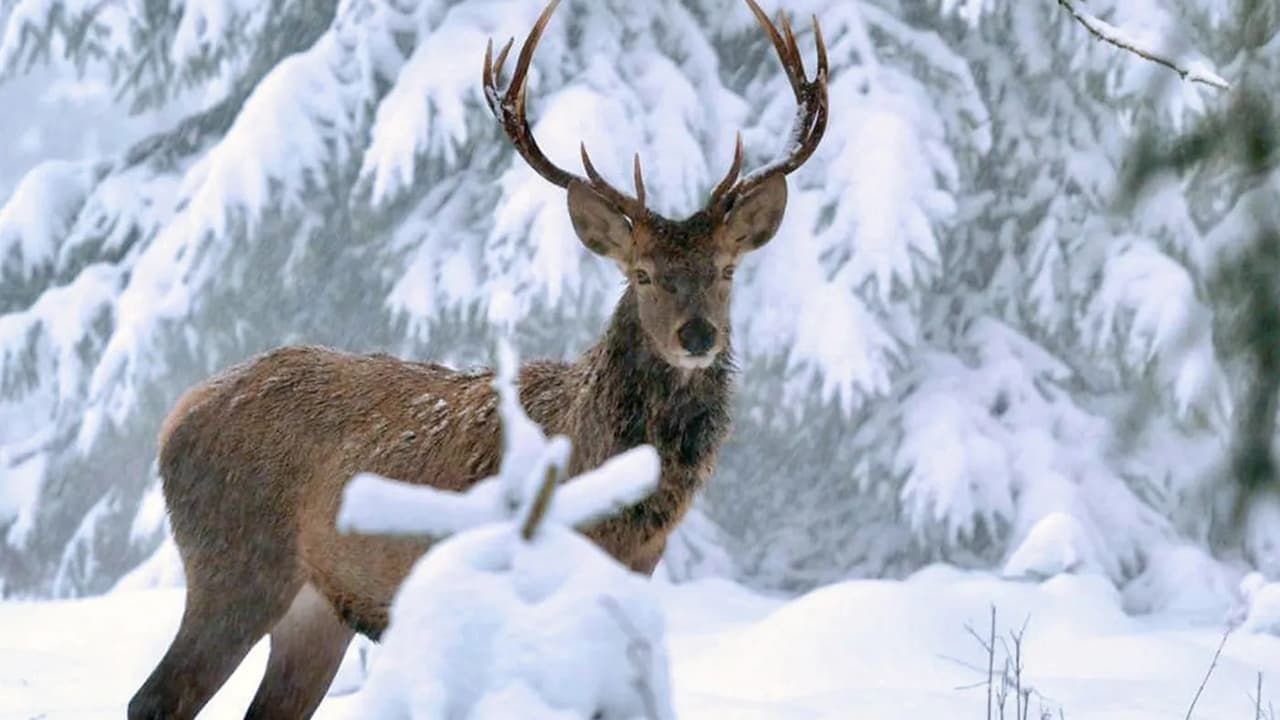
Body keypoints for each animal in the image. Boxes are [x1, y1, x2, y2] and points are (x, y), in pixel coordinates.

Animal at [127, 2, 829, 712]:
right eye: (644, 274)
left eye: (726, 270)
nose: (697, 335)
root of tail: (175, 418)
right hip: (236, 560)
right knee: (156, 696)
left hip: (315, 609)